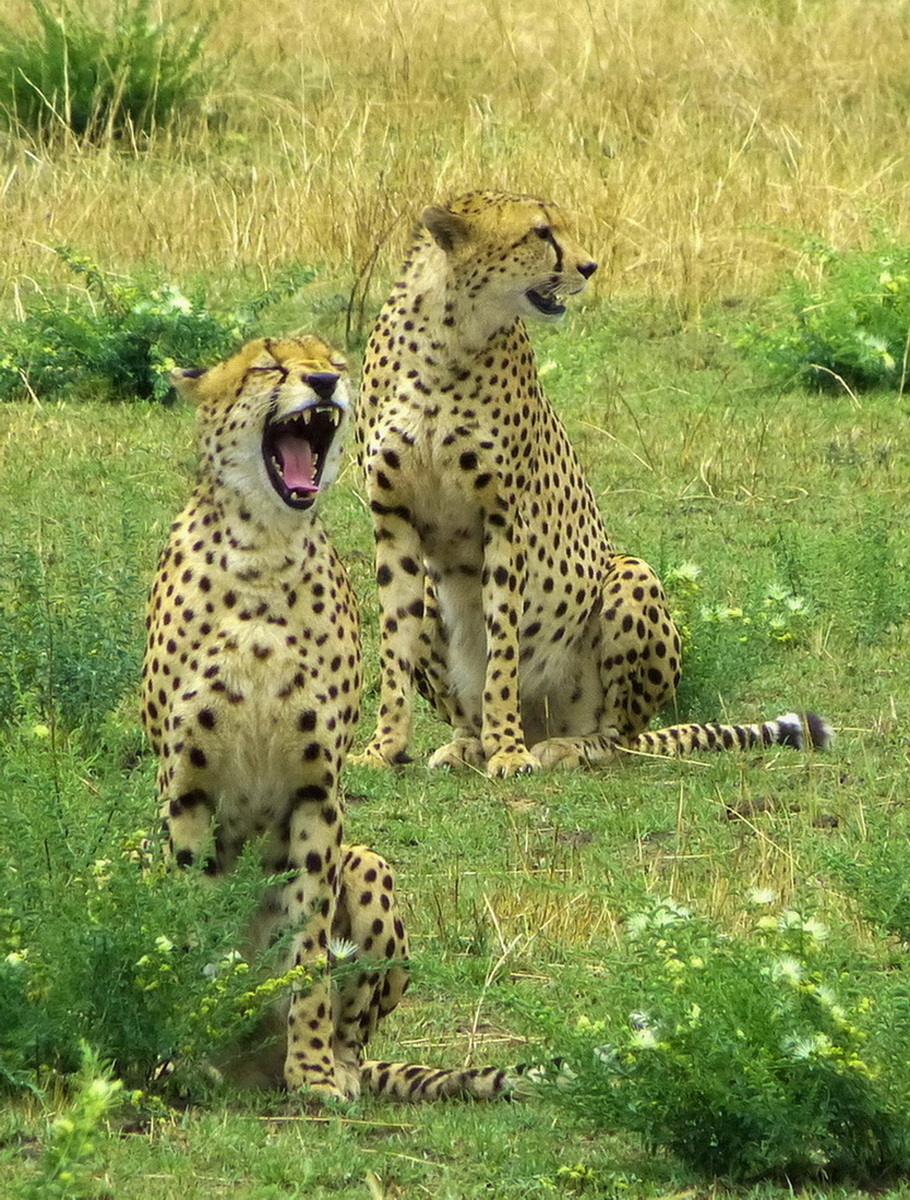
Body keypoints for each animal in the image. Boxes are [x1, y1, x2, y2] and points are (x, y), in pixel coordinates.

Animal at [140, 335, 516, 1101]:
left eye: (333, 362)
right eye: (267, 366)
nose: (322, 383)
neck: (263, 548)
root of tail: (251, 1068)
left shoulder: (317, 790)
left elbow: (309, 943)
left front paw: (311, 1069)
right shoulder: (184, 789)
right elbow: (191, 931)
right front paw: (186, 1054)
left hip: (368, 862)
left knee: (356, 1026)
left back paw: (329, 1063)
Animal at [351, 191, 832, 779]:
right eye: (540, 233)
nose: (588, 266)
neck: (449, 334)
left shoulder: (504, 520)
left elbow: (503, 646)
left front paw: (508, 749)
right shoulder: (392, 521)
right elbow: (392, 645)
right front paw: (383, 748)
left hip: (630, 575)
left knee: (618, 736)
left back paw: (560, 746)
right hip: (431, 594)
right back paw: (469, 744)